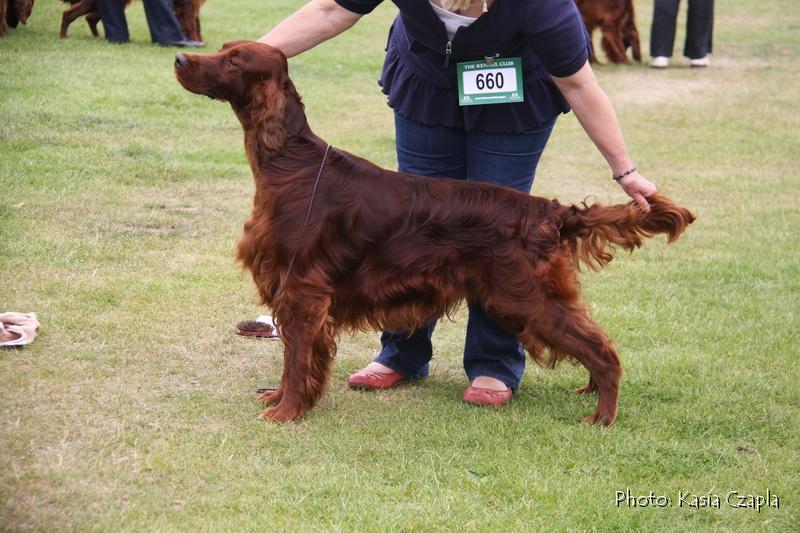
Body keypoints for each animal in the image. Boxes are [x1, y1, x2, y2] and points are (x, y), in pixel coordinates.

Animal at [59, 0, 203, 41]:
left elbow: (196, 26)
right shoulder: (188, 5)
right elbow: (192, 26)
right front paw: (195, 42)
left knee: (90, 18)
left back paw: (98, 36)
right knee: (69, 14)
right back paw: (63, 36)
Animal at [173, 40, 692, 424]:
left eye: (235, 60)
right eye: (223, 49)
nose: (179, 59)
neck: (290, 163)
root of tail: (547, 210)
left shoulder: (301, 289)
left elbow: (297, 358)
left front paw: (286, 412)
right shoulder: (291, 290)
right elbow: (292, 359)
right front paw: (278, 399)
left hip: (526, 298)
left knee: (603, 351)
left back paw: (603, 417)